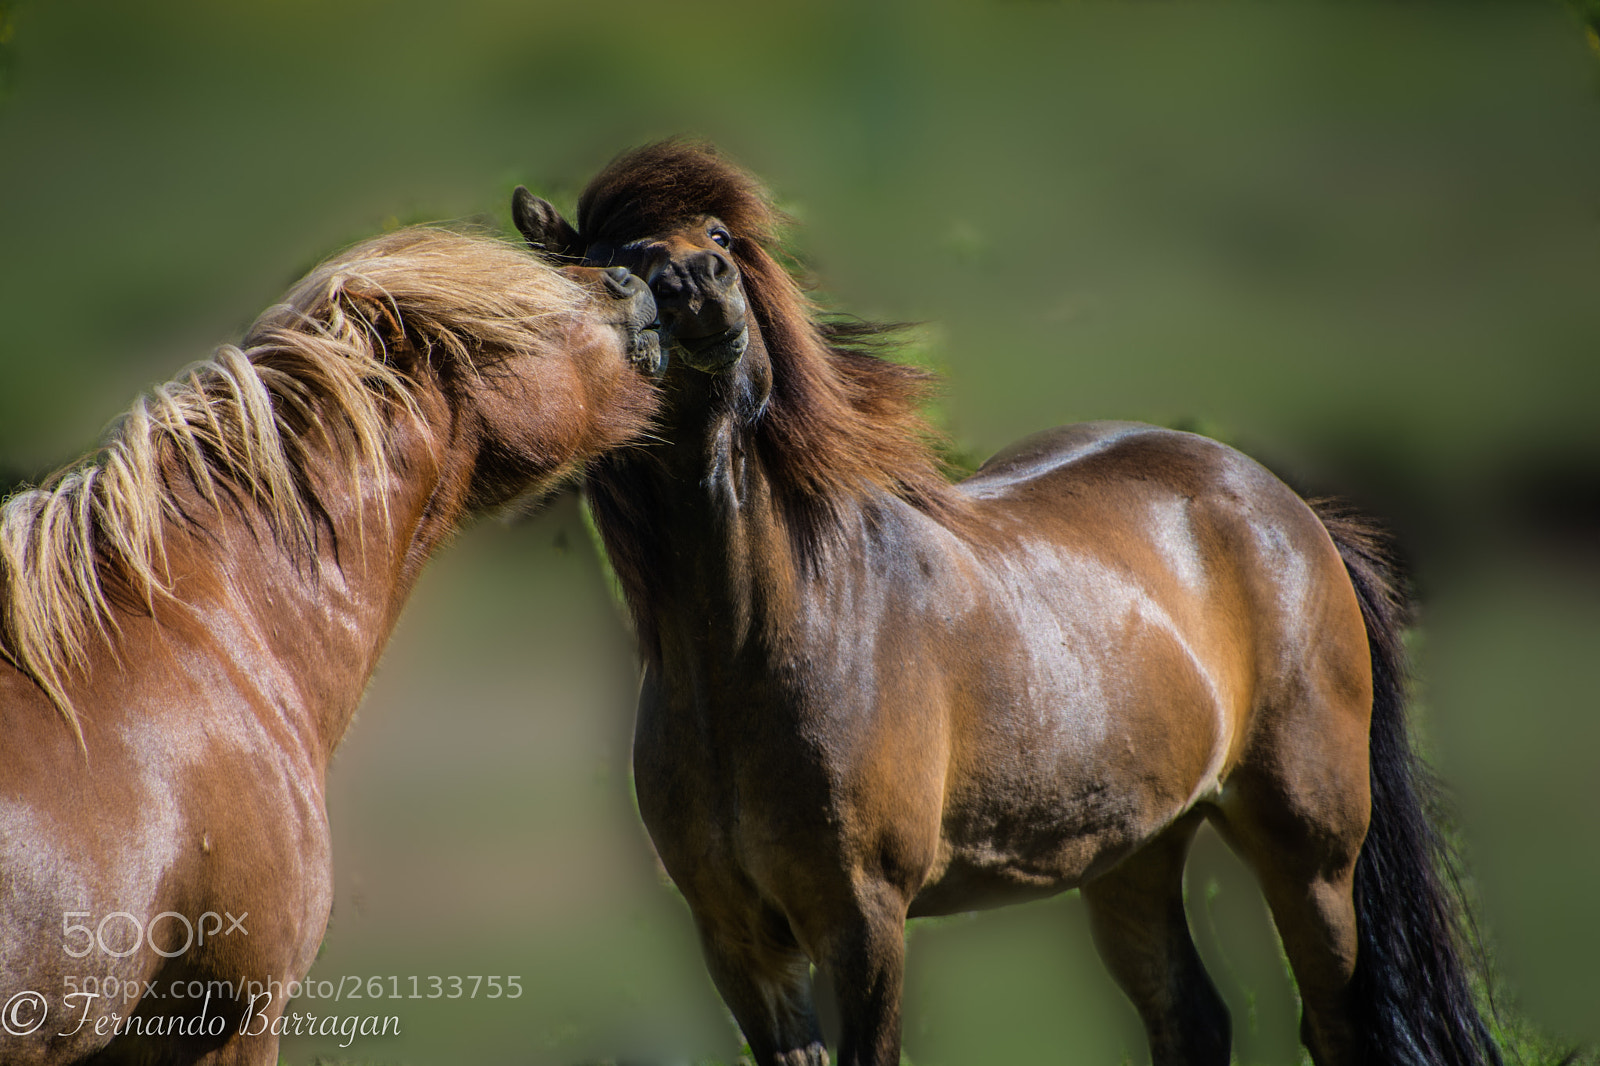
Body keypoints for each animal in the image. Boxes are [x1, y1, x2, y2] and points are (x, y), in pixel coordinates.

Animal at [512, 141, 1502, 1066]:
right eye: (620, 264)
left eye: (719, 238)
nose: (705, 290)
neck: (759, 644)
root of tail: (1289, 510)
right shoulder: (737, 942)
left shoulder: (862, 923)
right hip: (1134, 850)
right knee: (1192, 1017)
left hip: (1310, 855)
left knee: (1336, 1022)